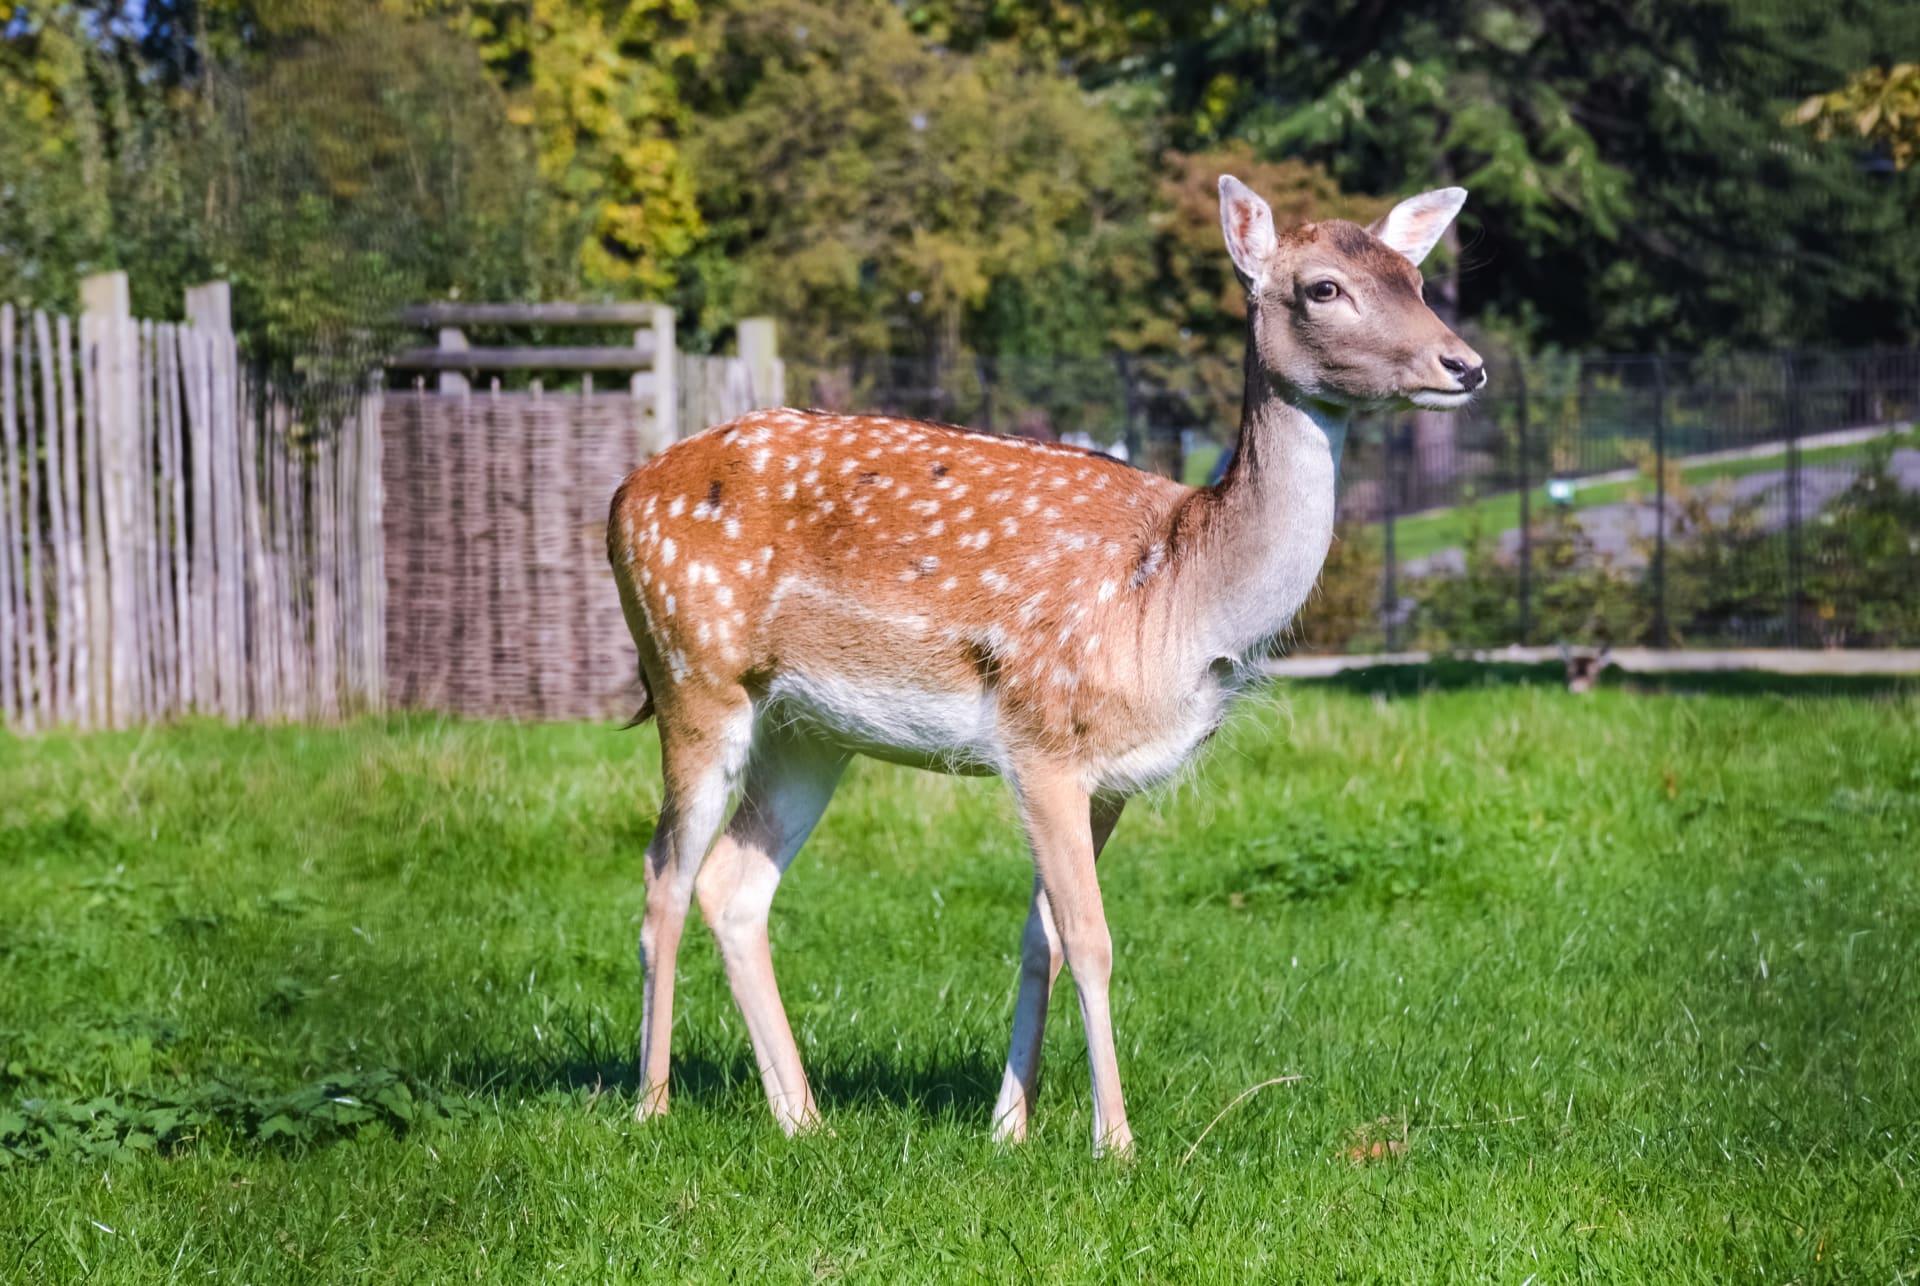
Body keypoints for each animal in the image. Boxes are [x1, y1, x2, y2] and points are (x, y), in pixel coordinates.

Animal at [606, 175, 1484, 1158]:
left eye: (1415, 276)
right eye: (1324, 287)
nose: (1465, 365)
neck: (1176, 600)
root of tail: (621, 498)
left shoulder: (1108, 777)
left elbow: (1046, 939)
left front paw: (1008, 1128)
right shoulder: (1041, 738)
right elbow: (1092, 939)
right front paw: (1116, 1143)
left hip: (806, 732)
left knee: (733, 886)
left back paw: (803, 1117)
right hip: (692, 671)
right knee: (663, 877)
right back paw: (652, 1104)